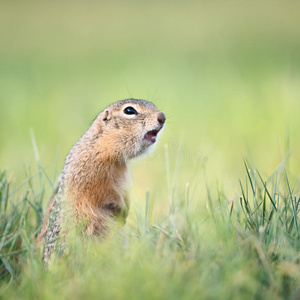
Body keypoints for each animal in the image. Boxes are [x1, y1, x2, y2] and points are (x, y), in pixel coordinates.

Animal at [37, 98, 166, 264]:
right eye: (130, 111)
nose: (162, 117)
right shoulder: (94, 175)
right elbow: (104, 192)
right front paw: (122, 209)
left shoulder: (123, 177)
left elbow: (124, 192)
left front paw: (126, 208)